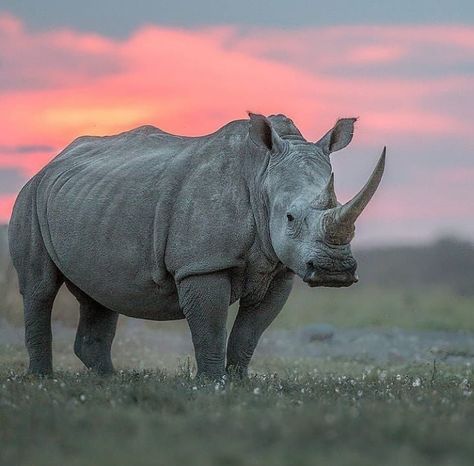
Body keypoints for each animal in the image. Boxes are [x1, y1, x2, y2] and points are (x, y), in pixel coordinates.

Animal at [8, 113, 386, 378]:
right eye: (290, 218)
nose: (333, 271)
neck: (262, 173)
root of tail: (51, 163)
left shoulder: (280, 270)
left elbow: (250, 332)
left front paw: (238, 383)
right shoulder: (202, 265)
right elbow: (210, 328)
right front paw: (212, 384)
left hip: (91, 203)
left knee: (100, 291)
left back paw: (108, 380)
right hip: (29, 197)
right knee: (39, 287)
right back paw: (43, 379)